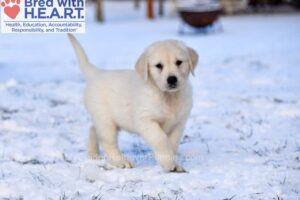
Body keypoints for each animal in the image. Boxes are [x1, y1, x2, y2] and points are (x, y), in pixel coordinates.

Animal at [68, 34, 199, 172]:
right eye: (158, 65)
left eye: (179, 62)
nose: (172, 79)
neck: (168, 96)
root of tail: (98, 73)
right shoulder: (146, 120)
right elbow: (160, 139)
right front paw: (168, 163)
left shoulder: (178, 124)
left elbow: (172, 144)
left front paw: (174, 163)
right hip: (106, 121)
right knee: (108, 142)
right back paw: (121, 162)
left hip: (106, 120)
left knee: (93, 129)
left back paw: (93, 154)